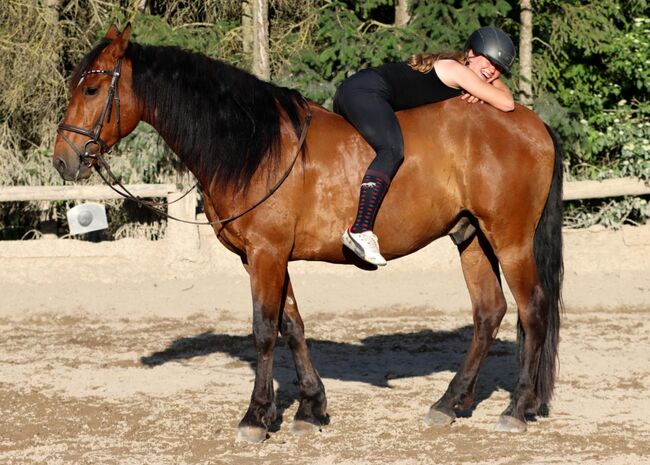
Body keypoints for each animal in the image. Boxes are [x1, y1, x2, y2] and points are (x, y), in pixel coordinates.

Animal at [53, 24, 563, 443]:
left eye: (93, 88)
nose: (63, 159)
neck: (256, 146)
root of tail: (532, 123)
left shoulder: (267, 253)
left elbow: (263, 330)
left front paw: (256, 417)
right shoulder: (264, 256)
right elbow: (292, 325)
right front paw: (310, 408)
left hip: (510, 239)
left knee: (533, 309)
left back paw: (518, 407)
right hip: (471, 236)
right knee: (489, 312)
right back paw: (449, 403)